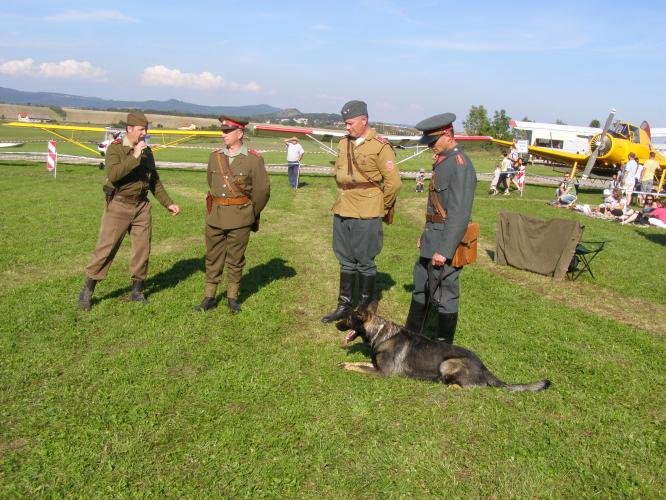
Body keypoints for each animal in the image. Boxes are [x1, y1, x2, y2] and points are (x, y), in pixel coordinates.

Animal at [334, 300, 548, 390]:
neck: (380, 333)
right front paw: (344, 364)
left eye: (348, 318)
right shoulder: (376, 366)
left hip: (447, 363)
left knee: (465, 387)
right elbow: (359, 364)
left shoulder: (383, 373)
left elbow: (359, 368)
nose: (335, 324)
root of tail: (484, 367)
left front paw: (346, 366)